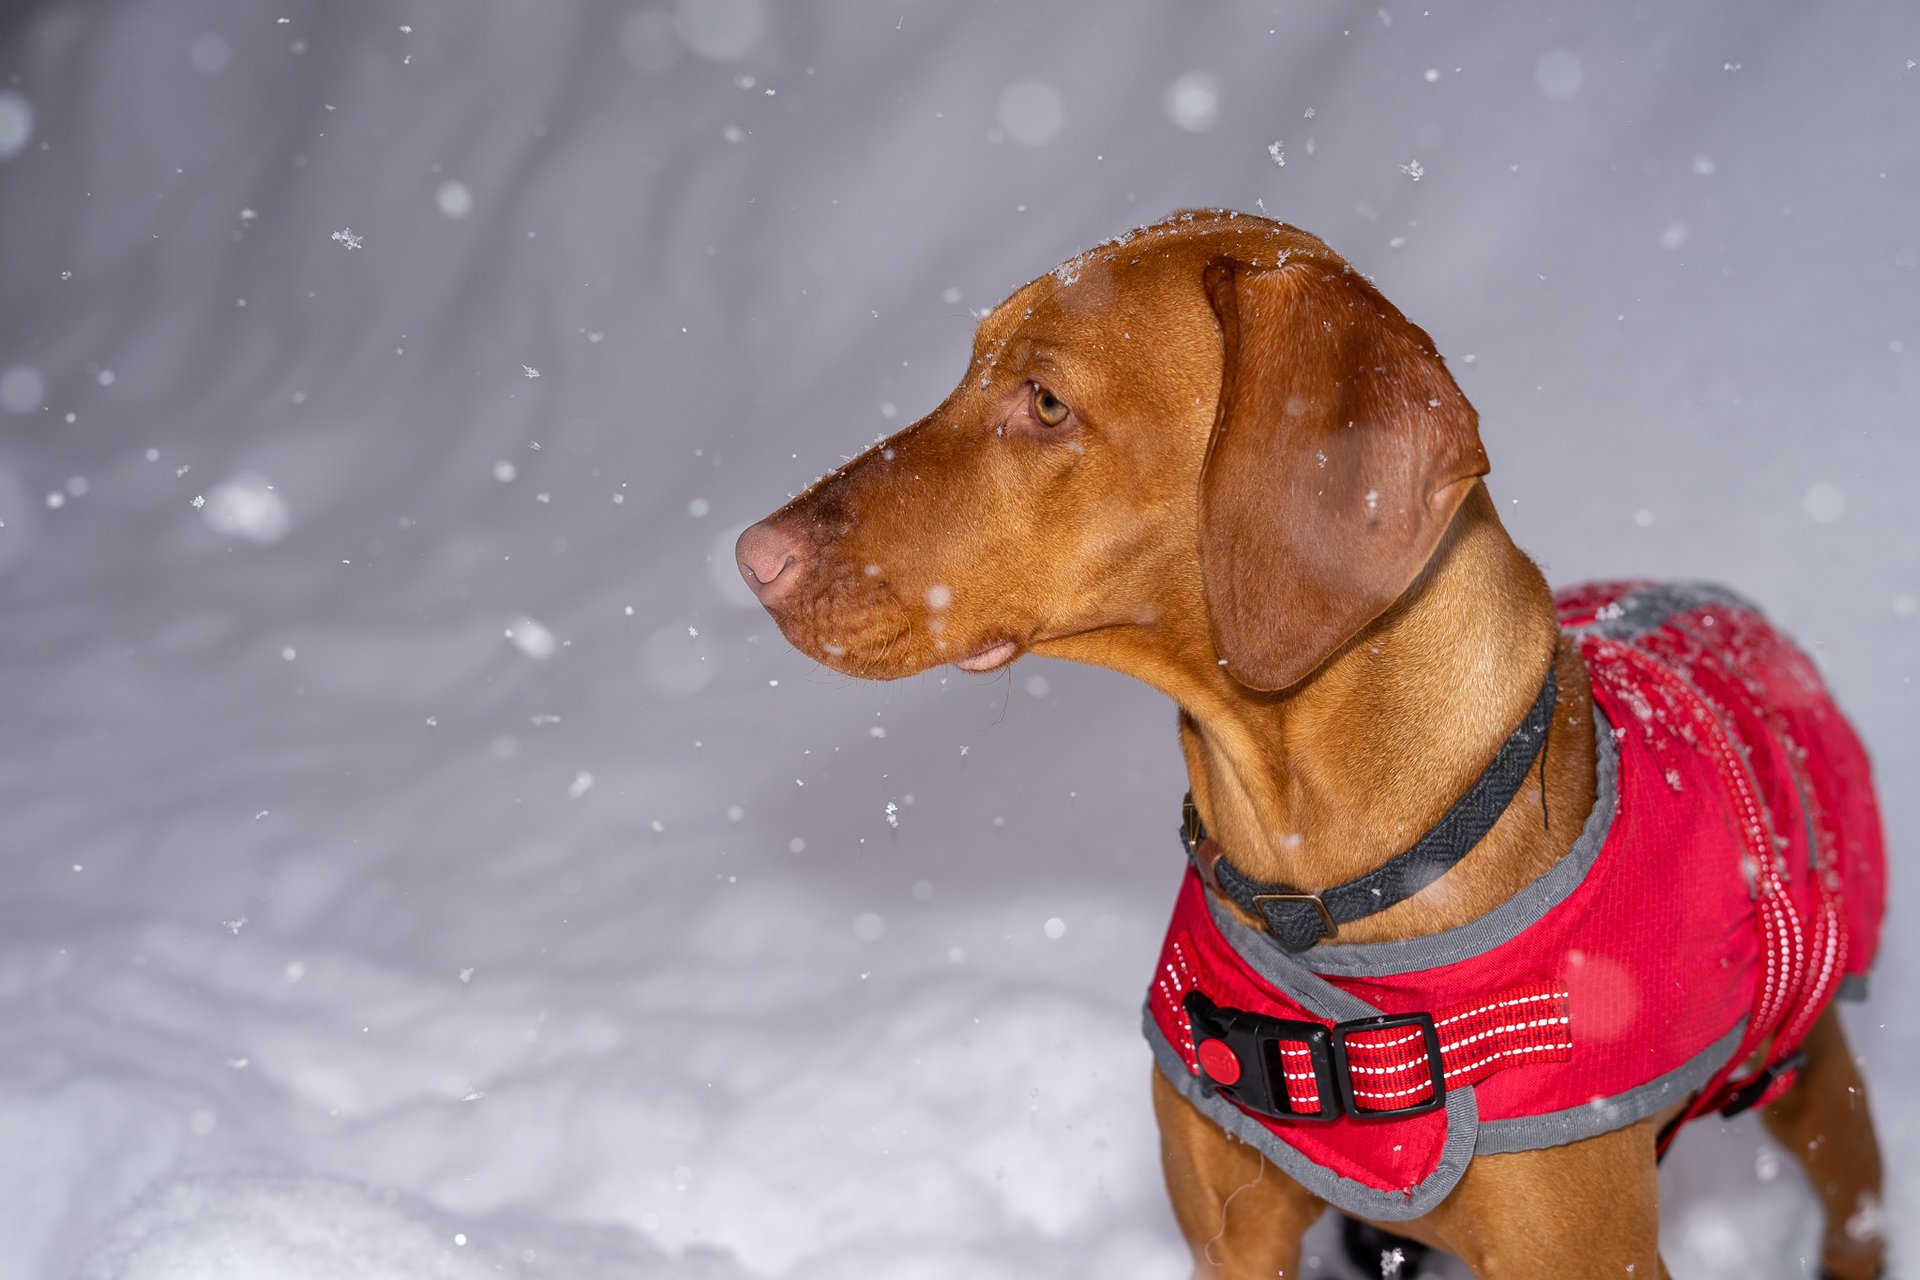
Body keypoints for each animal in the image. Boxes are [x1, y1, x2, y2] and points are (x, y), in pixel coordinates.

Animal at [733, 213, 1889, 1280]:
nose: (751, 557)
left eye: (1047, 400)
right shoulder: (1233, 1235)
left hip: (1815, 1073)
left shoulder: (1584, 1255)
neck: (1322, 884)